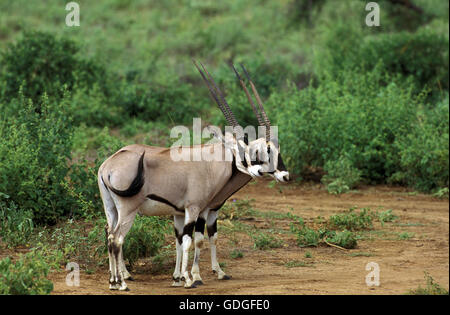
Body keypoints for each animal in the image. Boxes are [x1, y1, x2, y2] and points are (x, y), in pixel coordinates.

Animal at [98, 61, 288, 292]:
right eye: (256, 152)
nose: (283, 175)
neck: (208, 163)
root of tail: (107, 166)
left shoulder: (183, 213)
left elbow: (183, 241)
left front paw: (179, 277)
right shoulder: (196, 209)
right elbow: (193, 240)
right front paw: (192, 279)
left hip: (111, 208)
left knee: (109, 234)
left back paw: (114, 281)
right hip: (128, 210)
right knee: (117, 239)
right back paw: (122, 283)